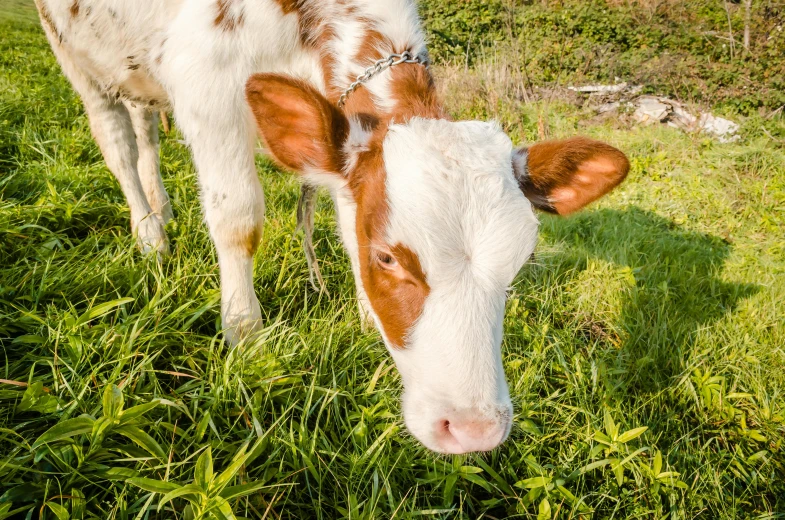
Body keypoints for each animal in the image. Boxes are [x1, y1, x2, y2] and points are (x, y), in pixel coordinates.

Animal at [35, 0, 632, 456]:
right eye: (387, 257)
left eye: (520, 265)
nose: (473, 429)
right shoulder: (207, 86)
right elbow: (238, 218)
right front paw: (245, 334)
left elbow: (346, 219)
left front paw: (368, 320)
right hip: (75, 55)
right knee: (116, 141)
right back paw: (150, 235)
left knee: (145, 132)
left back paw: (161, 209)